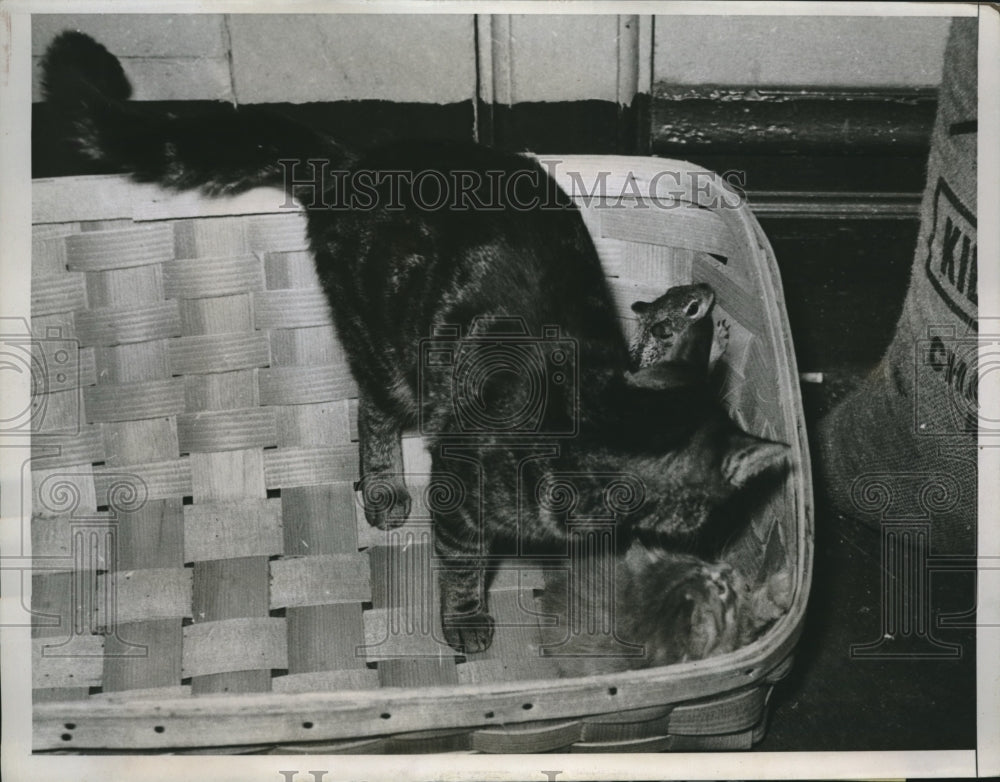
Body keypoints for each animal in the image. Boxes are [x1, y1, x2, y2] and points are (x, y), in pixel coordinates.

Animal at [43, 32, 788, 656]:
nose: (713, 544)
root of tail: (353, 161)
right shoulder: (458, 492)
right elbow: (462, 564)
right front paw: (465, 619)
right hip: (388, 354)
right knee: (370, 411)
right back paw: (383, 490)